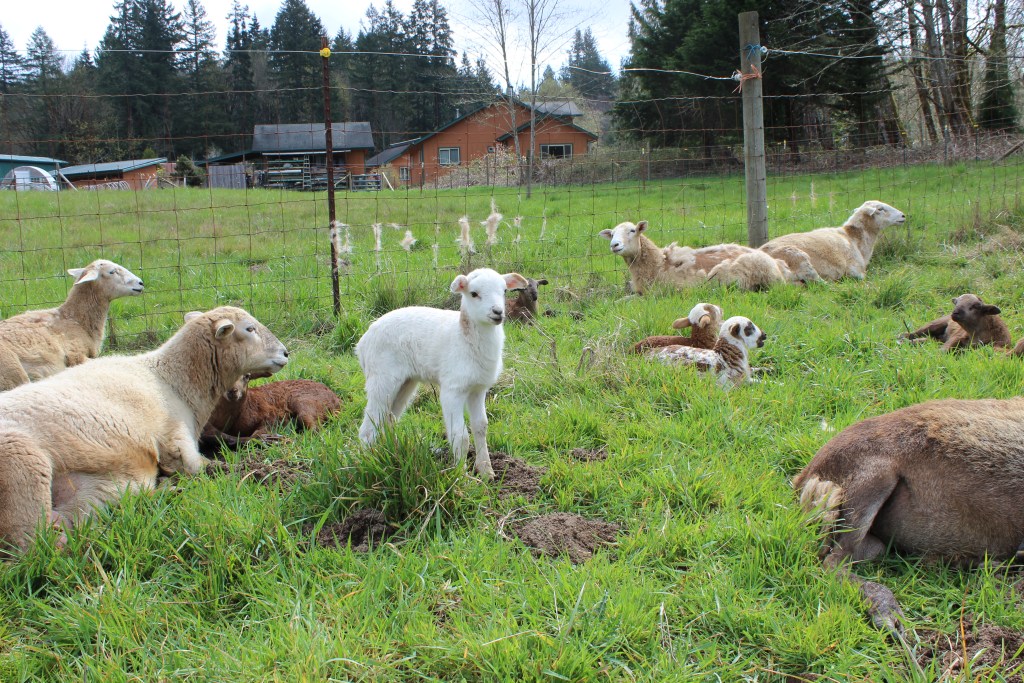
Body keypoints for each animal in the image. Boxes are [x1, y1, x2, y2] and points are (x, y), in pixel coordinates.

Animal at [0, 306, 289, 552]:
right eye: (249, 329)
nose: (286, 353)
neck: (172, 380)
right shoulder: (177, 444)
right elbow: (215, 467)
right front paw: (263, 471)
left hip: (95, 489)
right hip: (23, 464)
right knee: (36, 547)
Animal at [200, 377, 341, 451]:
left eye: (246, 376)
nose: (233, 391)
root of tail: (338, 400)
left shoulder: (271, 414)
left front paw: (273, 439)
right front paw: (271, 439)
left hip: (305, 401)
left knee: (314, 428)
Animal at [356, 267, 529, 479]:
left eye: (504, 291)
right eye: (474, 293)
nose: (498, 312)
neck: (464, 337)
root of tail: (363, 342)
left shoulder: (478, 388)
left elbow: (481, 427)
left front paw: (487, 472)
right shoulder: (452, 389)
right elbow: (460, 435)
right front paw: (463, 477)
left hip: (405, 382)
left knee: (388, 421)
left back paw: (389, 455)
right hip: (381, 378)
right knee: (369, 426)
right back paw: (366, 463)